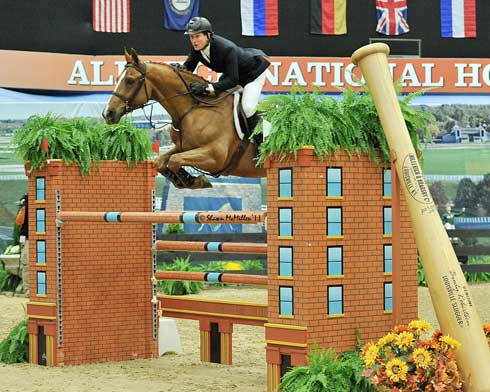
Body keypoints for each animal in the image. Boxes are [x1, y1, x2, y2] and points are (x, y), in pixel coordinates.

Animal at [102, 48, 264, 189]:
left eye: (129, 81)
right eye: (118, 79)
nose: (107, 113)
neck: (194, 109)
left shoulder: (216, 156)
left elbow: (175, 160)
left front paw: (193, 181)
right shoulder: (183, 147)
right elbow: (160, 161)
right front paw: (186, 180)